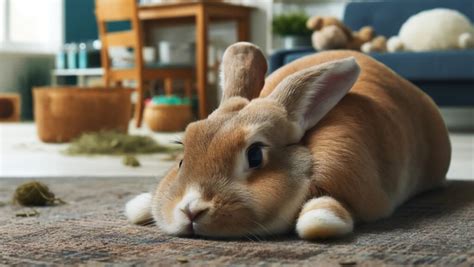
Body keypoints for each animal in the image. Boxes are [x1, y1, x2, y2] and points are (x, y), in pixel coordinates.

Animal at [124, 42, 450, 241]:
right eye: (181, 159)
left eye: (255, 156)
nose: (191, 210)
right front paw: (139, 205)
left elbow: (324, 212)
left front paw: (320, 220)